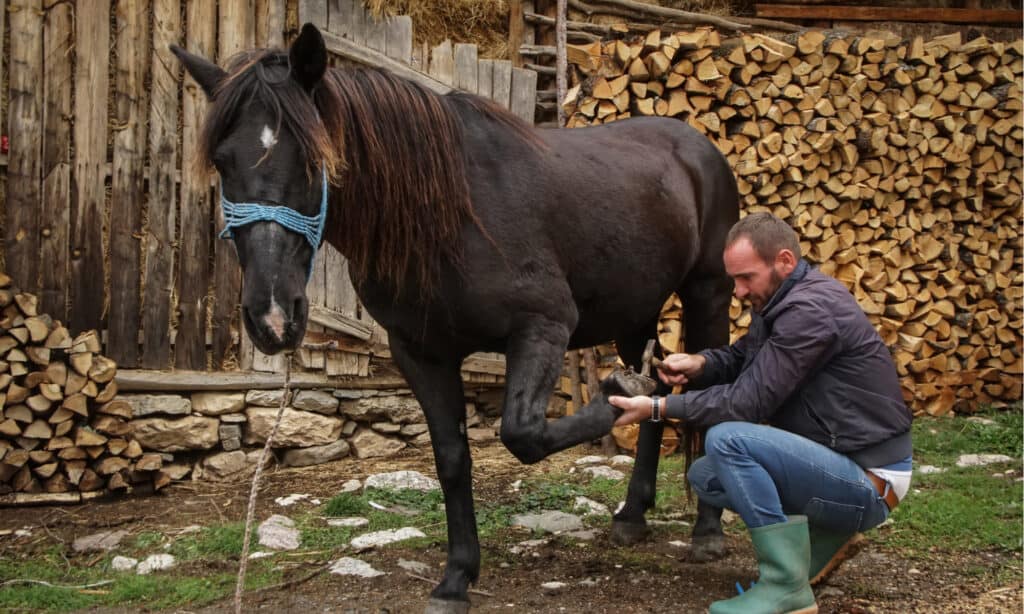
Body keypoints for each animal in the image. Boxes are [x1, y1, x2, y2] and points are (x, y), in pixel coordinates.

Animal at [174, 24, 737, 614]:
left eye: (313, 157)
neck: (451, 213)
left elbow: (523, 434)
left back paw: (706, 532)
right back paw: (631, 515)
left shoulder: (543, 326)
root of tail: (696, 145)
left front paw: (616, 394)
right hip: (634, 312)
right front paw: (456, 578)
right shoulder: (420, 352)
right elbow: (451, 458)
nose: (273, 317)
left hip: (708, 295)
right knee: (661, 392)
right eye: (222, 161)